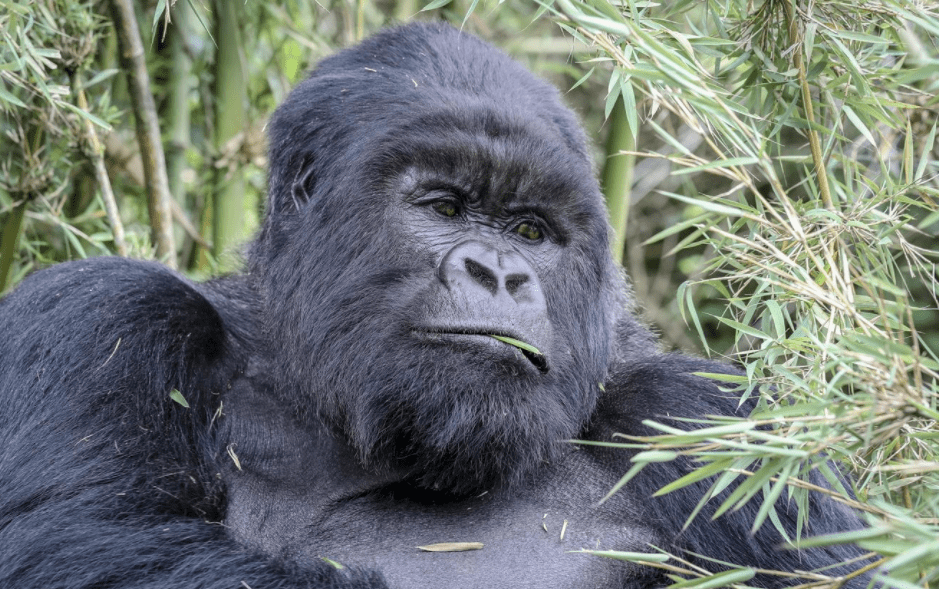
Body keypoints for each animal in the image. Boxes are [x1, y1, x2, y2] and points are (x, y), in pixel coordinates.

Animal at [0, 21, 872, 588]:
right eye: (445, 208)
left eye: (529, 230)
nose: (500, 273)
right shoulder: (104, 318)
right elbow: (82, 542)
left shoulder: (706, 416)